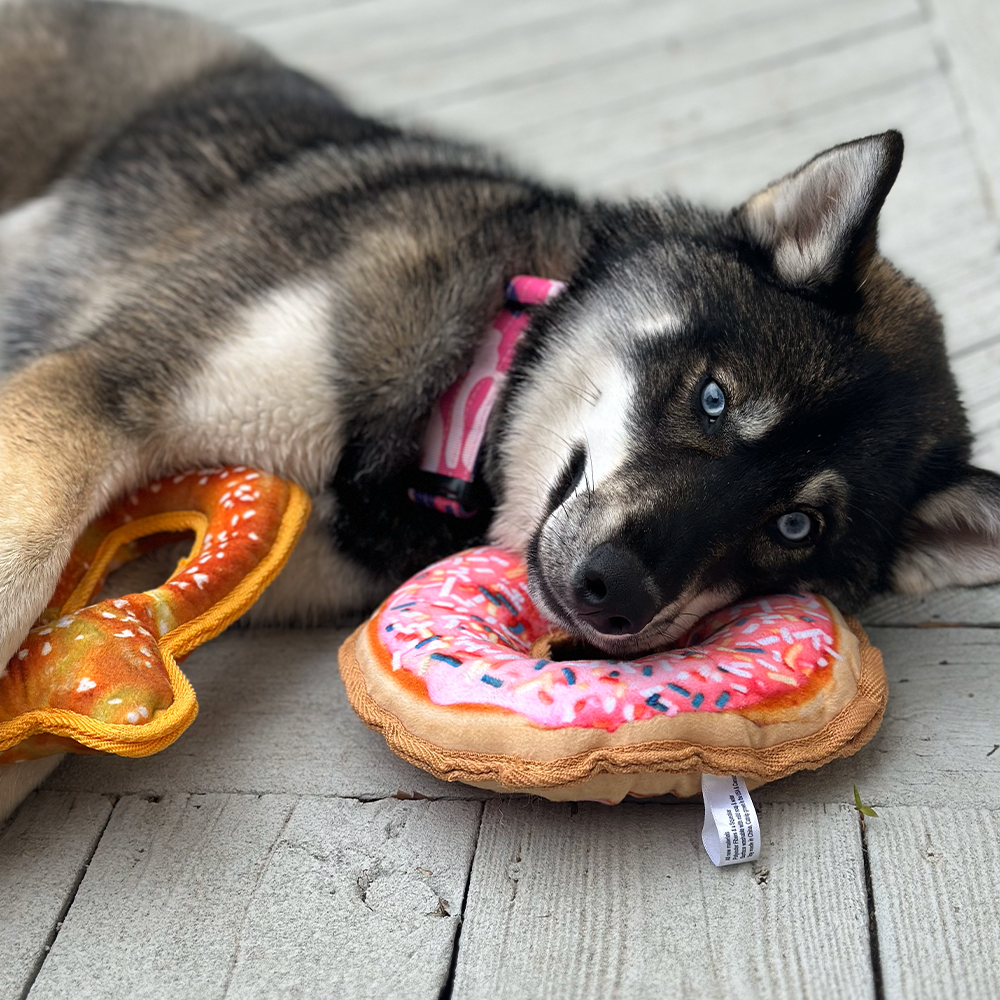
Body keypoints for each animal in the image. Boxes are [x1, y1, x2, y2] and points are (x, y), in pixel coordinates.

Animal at [1, 0, 1000, 816]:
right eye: (715, 399)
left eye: (797, 528)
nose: (614, 592)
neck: (463, 392)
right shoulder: (98, 390)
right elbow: (24, 571)